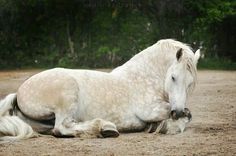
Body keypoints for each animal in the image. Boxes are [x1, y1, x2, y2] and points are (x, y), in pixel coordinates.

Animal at [0, 38, 200, 141]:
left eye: (190, 83)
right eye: (173, 77)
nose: (176, 111)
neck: (143, 77)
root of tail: (19, 92)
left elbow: (188, 115)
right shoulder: (151, 109)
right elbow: (185, 116)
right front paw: (165, 126)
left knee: (57, 128)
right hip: (67, 96)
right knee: (61, 128)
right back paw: (104, 128)